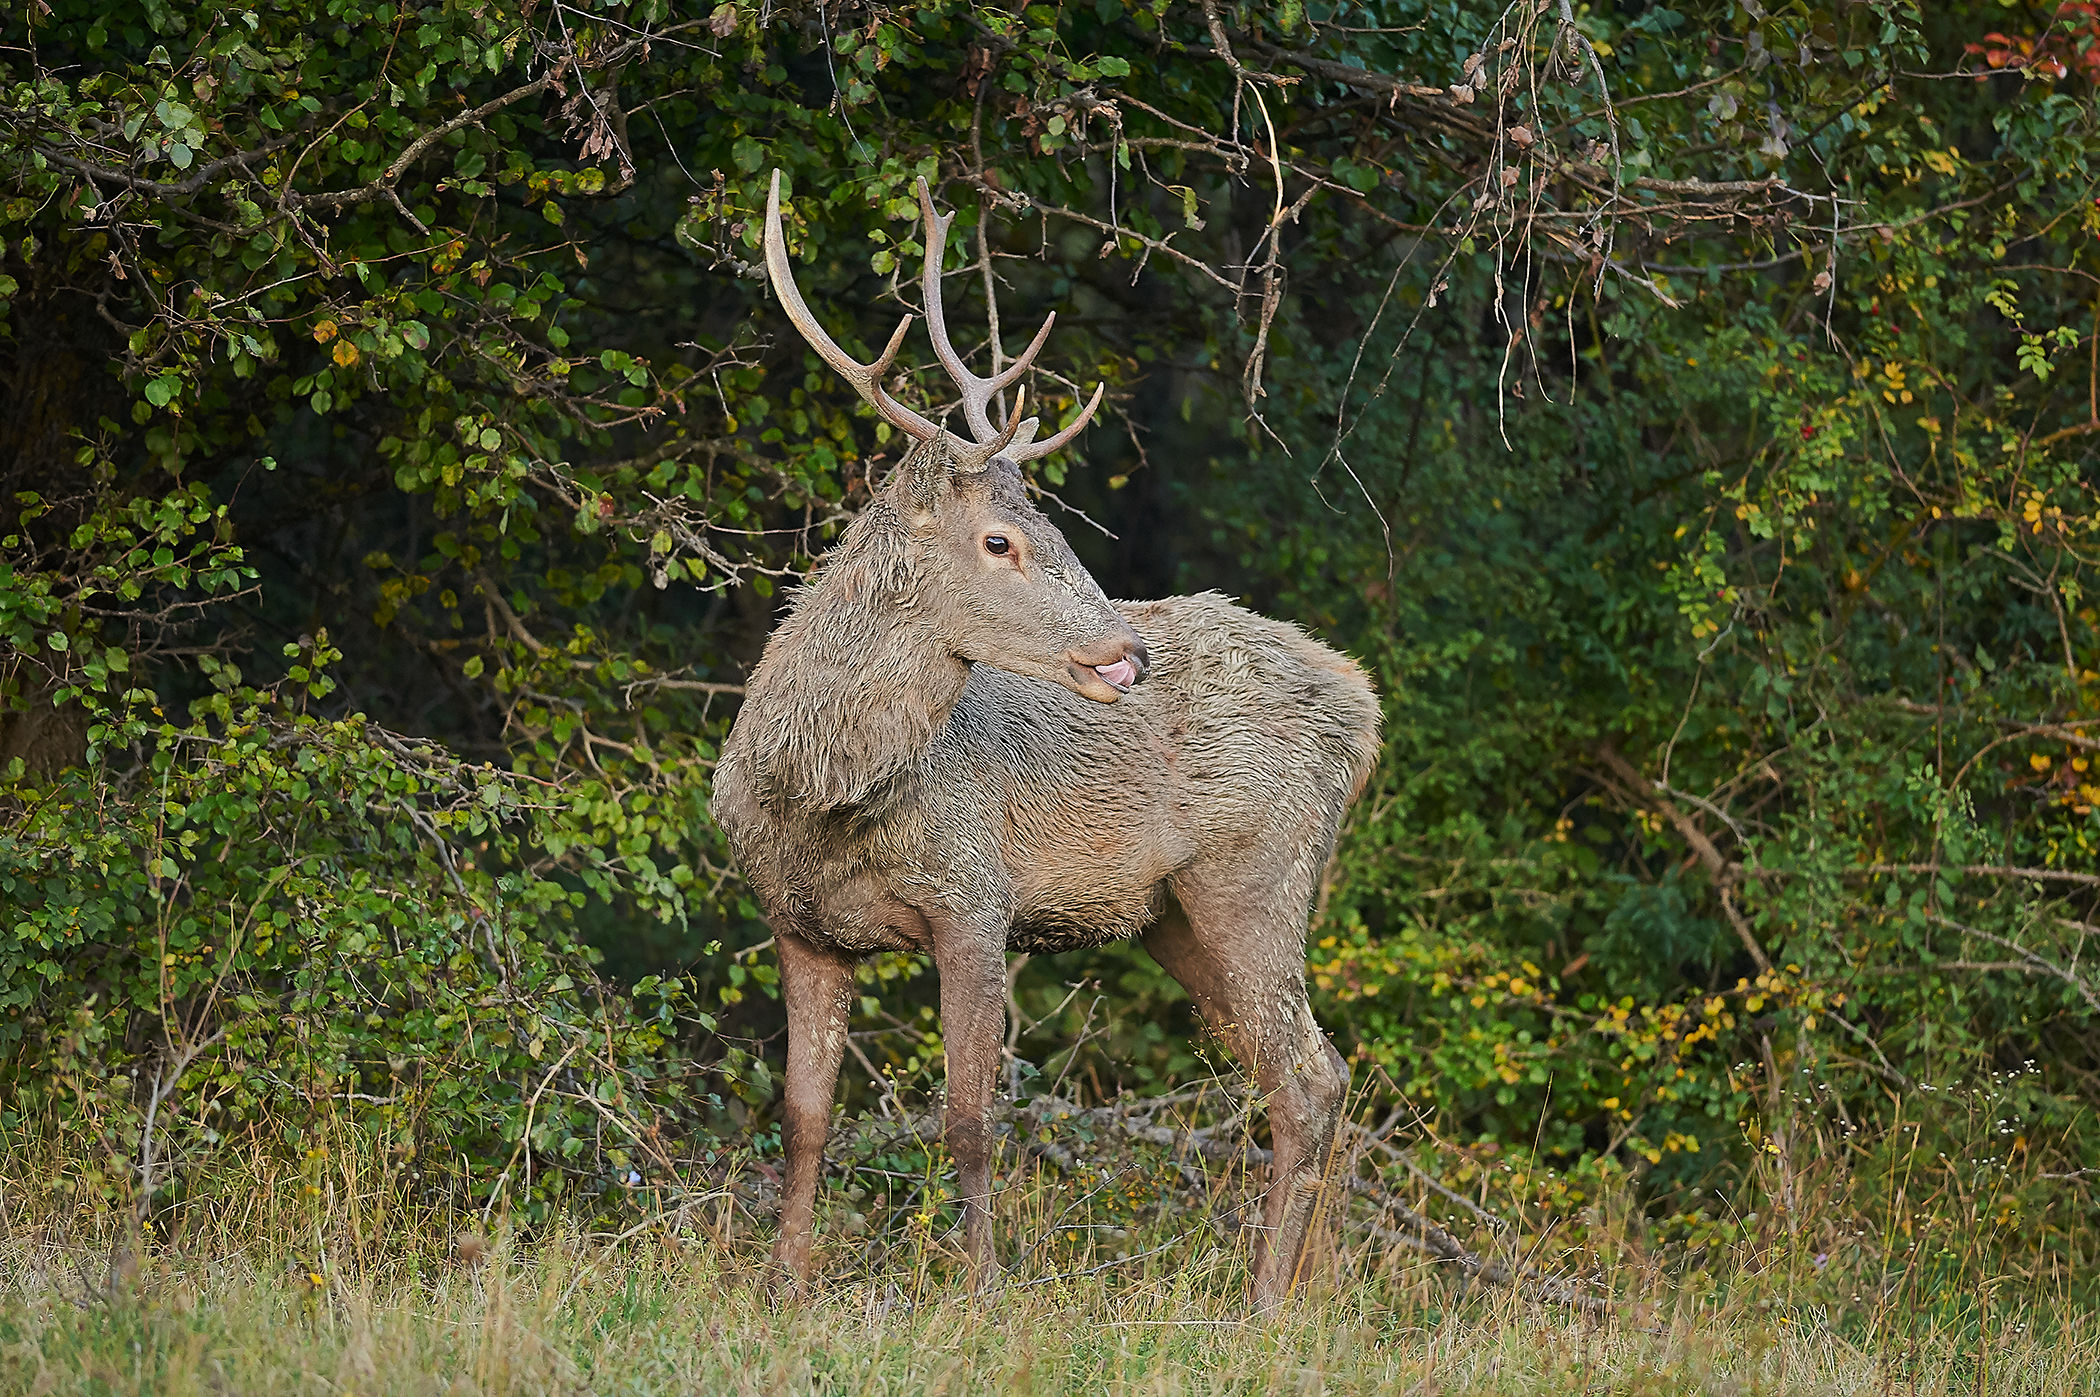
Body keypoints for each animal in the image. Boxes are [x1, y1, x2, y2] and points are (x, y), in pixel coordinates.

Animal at [709, 170, 1381, 1308]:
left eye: (1059, 530)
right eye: (1001, 540)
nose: (1127, 651)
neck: (819, 792)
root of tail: (1362, 706)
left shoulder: (973, 897)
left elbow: (971, 1119)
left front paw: (981, 1290)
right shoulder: (798, 923)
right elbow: (803, 1119)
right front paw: (782, 1287)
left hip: (1259, 872)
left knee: (1308, 1074)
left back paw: (1262, 1302)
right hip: (1178, 916)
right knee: (1308, 1068)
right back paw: (1307, 1289)